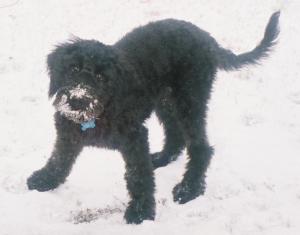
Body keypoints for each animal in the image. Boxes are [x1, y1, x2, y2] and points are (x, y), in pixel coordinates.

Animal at [27, 11, 280, 224]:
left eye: (101, 76)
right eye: (74, 69)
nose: (78, 100)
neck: (100, 112)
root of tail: (207, 40)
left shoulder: (135, 137)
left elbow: (138, 175)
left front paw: (141, 211)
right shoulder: (68, 133)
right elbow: (59, 158)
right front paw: (45, 179)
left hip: (190, 100)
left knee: (201, 146)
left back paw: (189, 188)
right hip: (166, 101)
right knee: (175, 134)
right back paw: (161, 158)